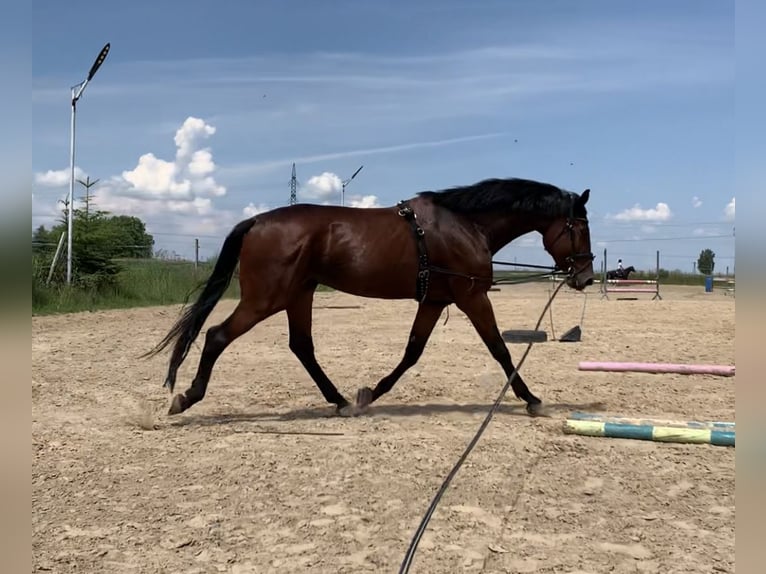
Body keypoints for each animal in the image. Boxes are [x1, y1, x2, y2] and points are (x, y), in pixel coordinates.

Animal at [146, 177, 600, 418]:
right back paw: (186, 398)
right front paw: (532, 400)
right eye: (579, 227)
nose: (585, 277)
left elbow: (412, 352)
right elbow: (500, 350)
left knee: (302, 346)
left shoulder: (434, 302)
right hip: (266, 299)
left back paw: (341, 400)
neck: (465, 224)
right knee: (217, 336)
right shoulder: (472, 298)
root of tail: (257, 221)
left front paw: (371, 393)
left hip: (299, 295)